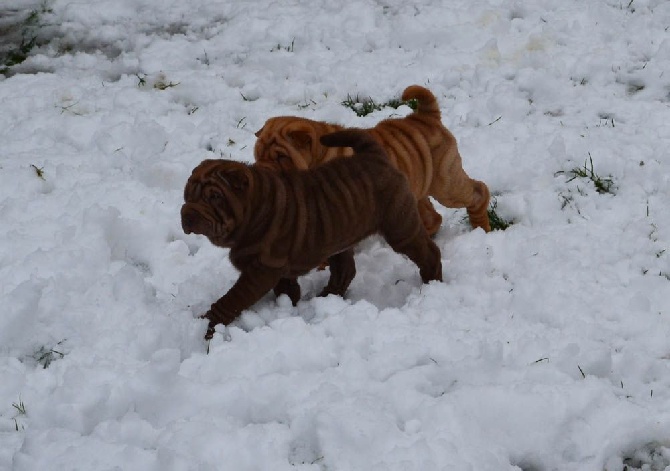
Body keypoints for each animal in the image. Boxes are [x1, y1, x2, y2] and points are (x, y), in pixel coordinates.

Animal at [181, 128, 444, 340]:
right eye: (187, 194)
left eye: (214, 197)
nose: (188, 214)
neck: (255, 209)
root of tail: (375, 155)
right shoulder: (276, 267)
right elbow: (286, 288)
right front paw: (288, 304)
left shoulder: (262, 268)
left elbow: (231, 299)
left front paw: (207, 324)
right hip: (340, 235)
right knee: (345, 270)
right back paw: (328, 297)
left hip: (399, 226)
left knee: (429, 252)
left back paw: (432, 282)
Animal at [255, 84, 490, 236]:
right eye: (257, 155)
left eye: (282, 157)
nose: (263, 171)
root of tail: (425, 116)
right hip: (417, 185)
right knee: (432, 215)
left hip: (445, 183)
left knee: (478, 191)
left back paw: (481, 227)